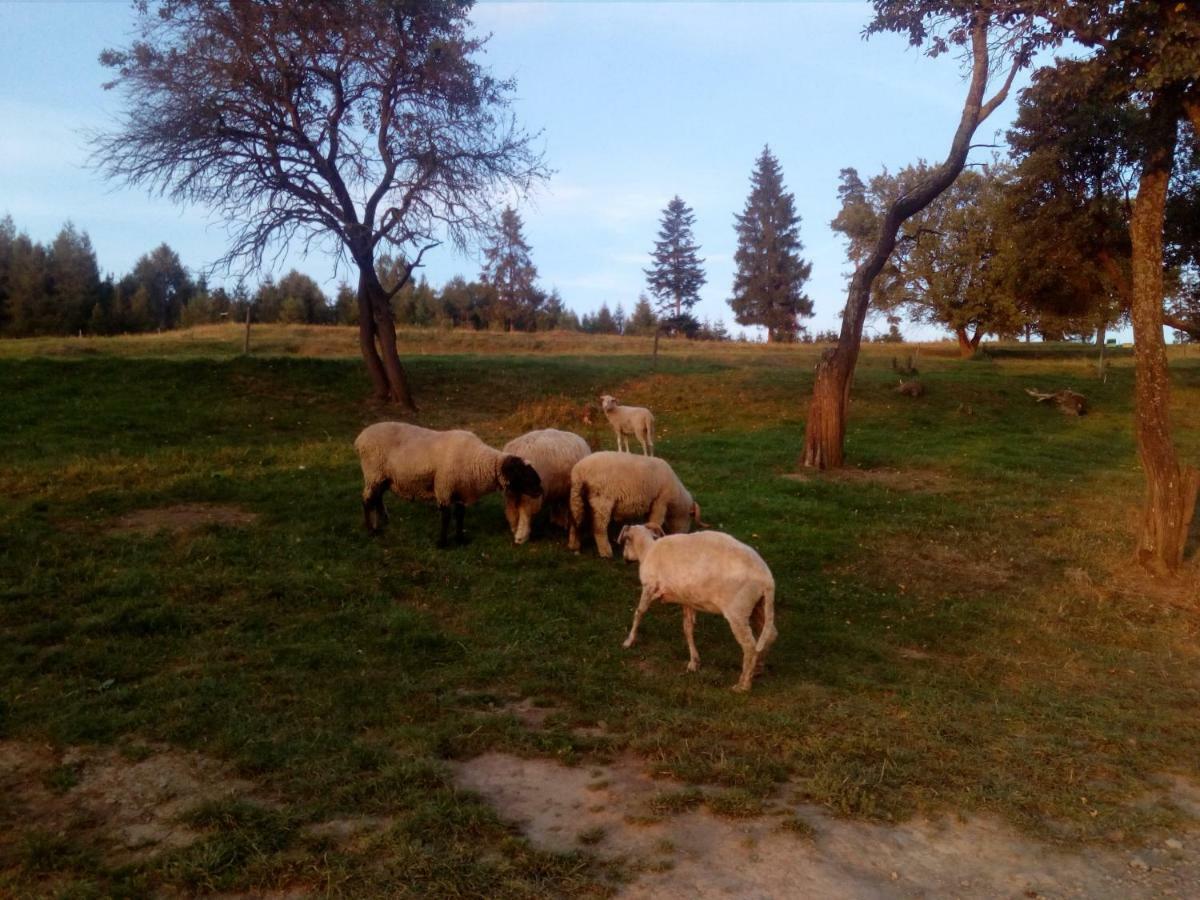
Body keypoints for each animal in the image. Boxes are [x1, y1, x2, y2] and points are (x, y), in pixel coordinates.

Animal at [352, 424, 542, 549]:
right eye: (523, 474)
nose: (540, 491)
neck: (478, 461)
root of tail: (360, 438)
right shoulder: (444, 488)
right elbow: (446, 517)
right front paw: (442, 543)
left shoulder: (460, 491)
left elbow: (460, 515)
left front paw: (460, 539)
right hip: (373, 473)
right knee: (366, 500)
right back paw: (371, 530)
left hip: (383, 476)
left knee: (377, 497)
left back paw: (383, 521)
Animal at [564, 448, 700, 556]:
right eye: (690, 516)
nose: (684, 535)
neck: (676, 497)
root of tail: (580, 471)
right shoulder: (660, 502)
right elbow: (656, 521)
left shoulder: (652, 503)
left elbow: (649, 522)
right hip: (601, 500)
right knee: (599, 527)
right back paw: (606, 552)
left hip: (577, 497)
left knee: (575, 521)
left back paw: (573, 545)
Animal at [619, 525, 777, 696]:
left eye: (626, 542)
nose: (624, 558)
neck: (647, 550)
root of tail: (767, 580)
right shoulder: (687, 600)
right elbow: (687, 628)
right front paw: (694, 662)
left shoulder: (649, 587)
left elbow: (639, 613)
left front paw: (628, 641)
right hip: (758, 606)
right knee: (770, 635)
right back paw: (757, 670)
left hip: (738, 611)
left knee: (750, 646)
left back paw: (743, 685)